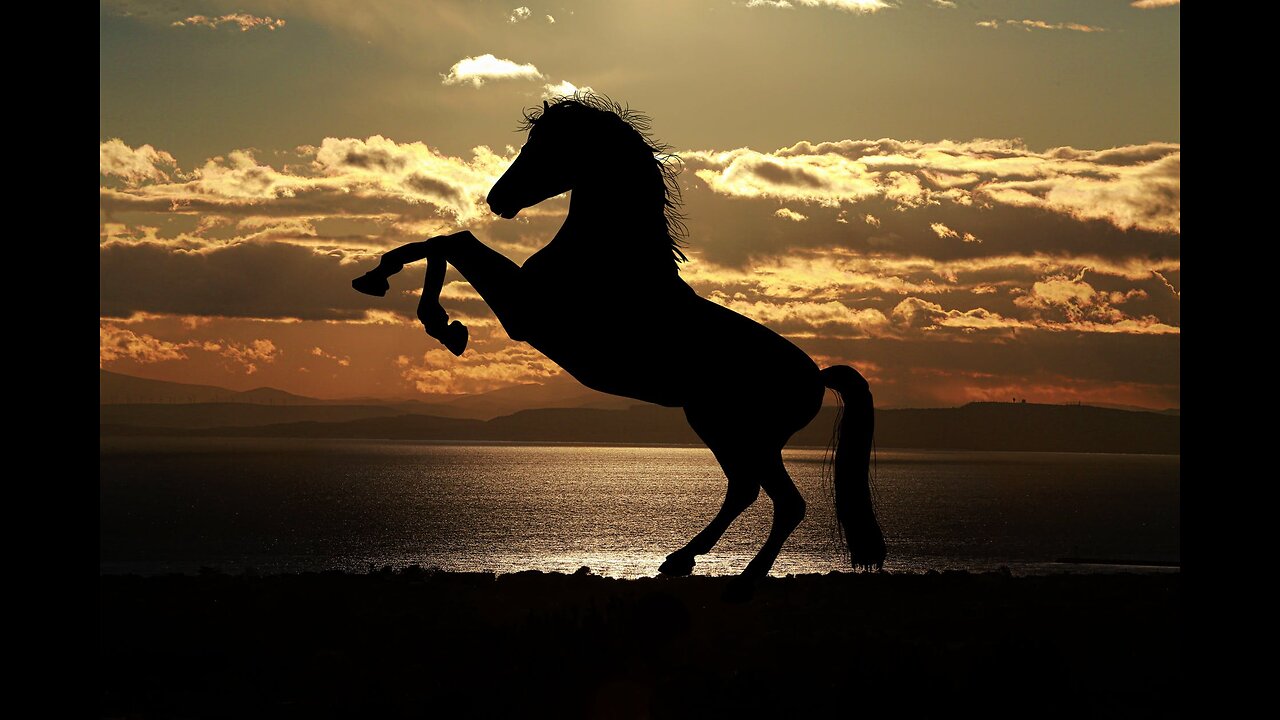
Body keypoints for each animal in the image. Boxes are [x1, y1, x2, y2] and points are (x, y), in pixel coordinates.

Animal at [355, 92, 885, 594]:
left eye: (544, 146)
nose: (496, 198)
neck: (609, 258)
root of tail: (816, 377)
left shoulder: (524, 311)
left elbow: (453, 242)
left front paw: (438, 321)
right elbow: (443, 242)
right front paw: (387, 285)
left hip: (743, 433)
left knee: (784, 502)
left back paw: (742, 580)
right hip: (721, 427)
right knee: (745, 490)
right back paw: (680, 560)